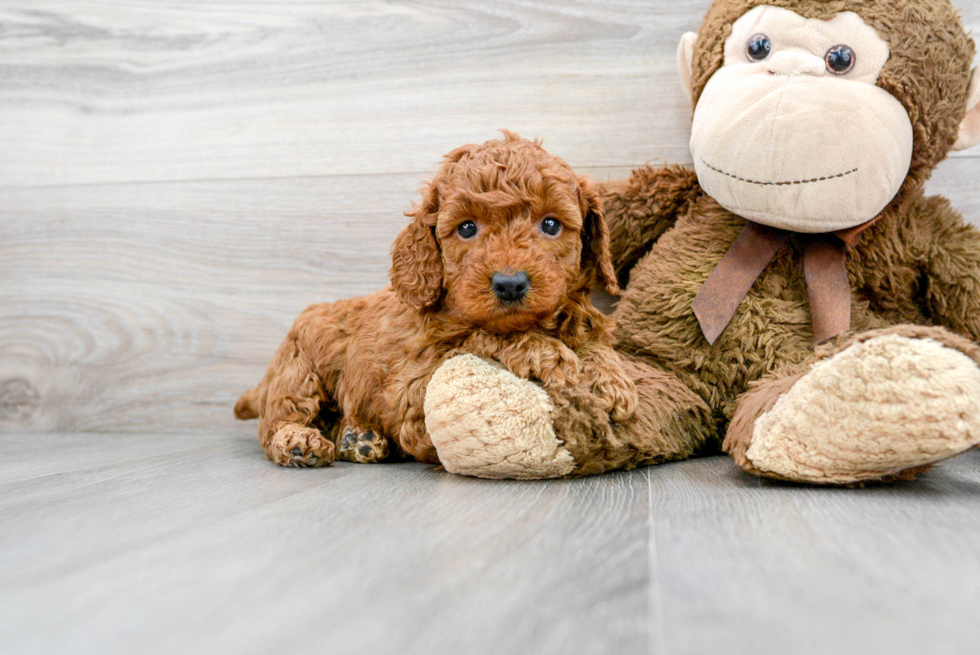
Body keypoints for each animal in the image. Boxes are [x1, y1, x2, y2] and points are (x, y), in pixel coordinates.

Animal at [234, 133, 640, 468]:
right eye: (467, 228)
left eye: (551, 224)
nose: (509, 284)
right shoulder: (410, 390)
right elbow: (481, 336)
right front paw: (547, 352)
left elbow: (593, 341)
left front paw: (611, 378)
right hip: (298, 370)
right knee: (278, 420)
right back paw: (298, 442)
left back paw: (359, 438)